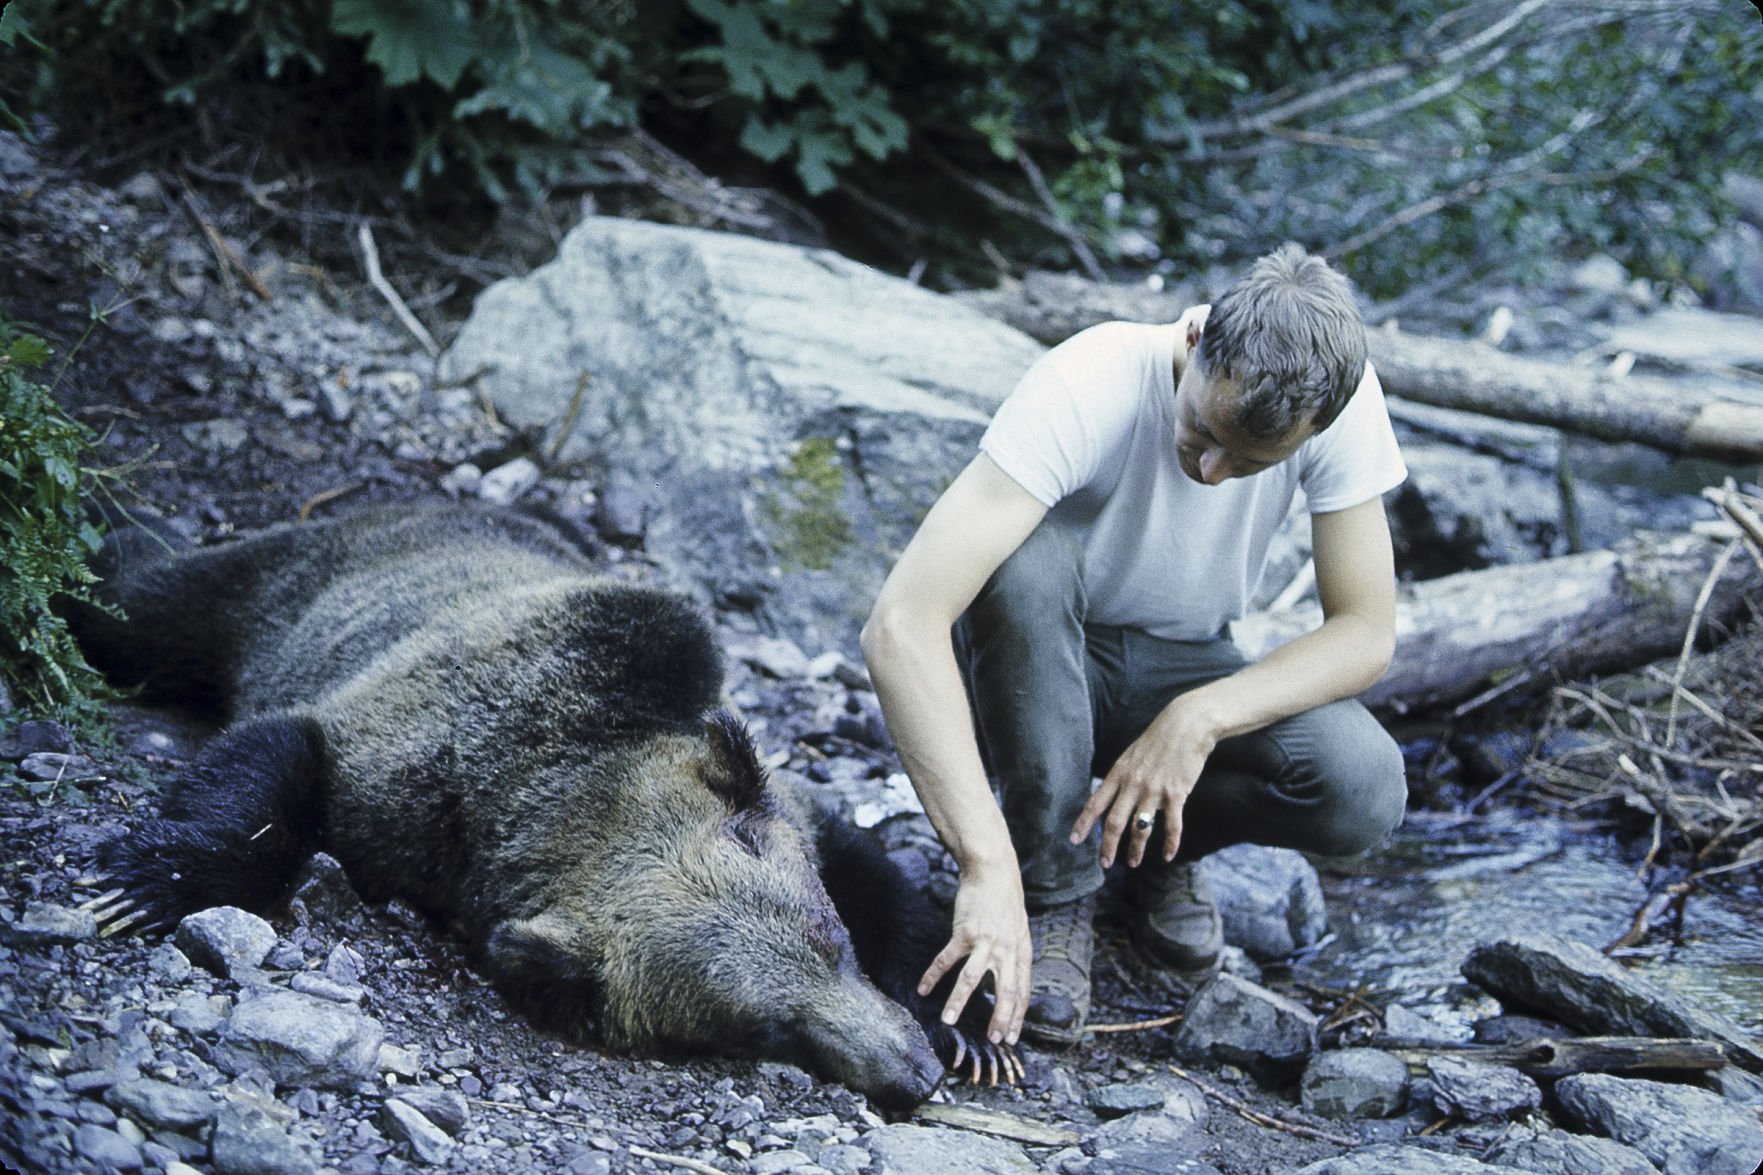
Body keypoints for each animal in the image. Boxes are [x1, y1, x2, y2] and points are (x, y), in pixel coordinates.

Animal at [72, 504, 1022, 1107]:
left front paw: (968, 1019)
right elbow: (281, 764)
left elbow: (877, 874)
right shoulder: (399, 770)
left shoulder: (760, 776)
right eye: (768, 1027)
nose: (912, 1074)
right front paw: (146, 882)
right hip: (276, 586)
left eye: (833, 942)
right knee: (142, 605)